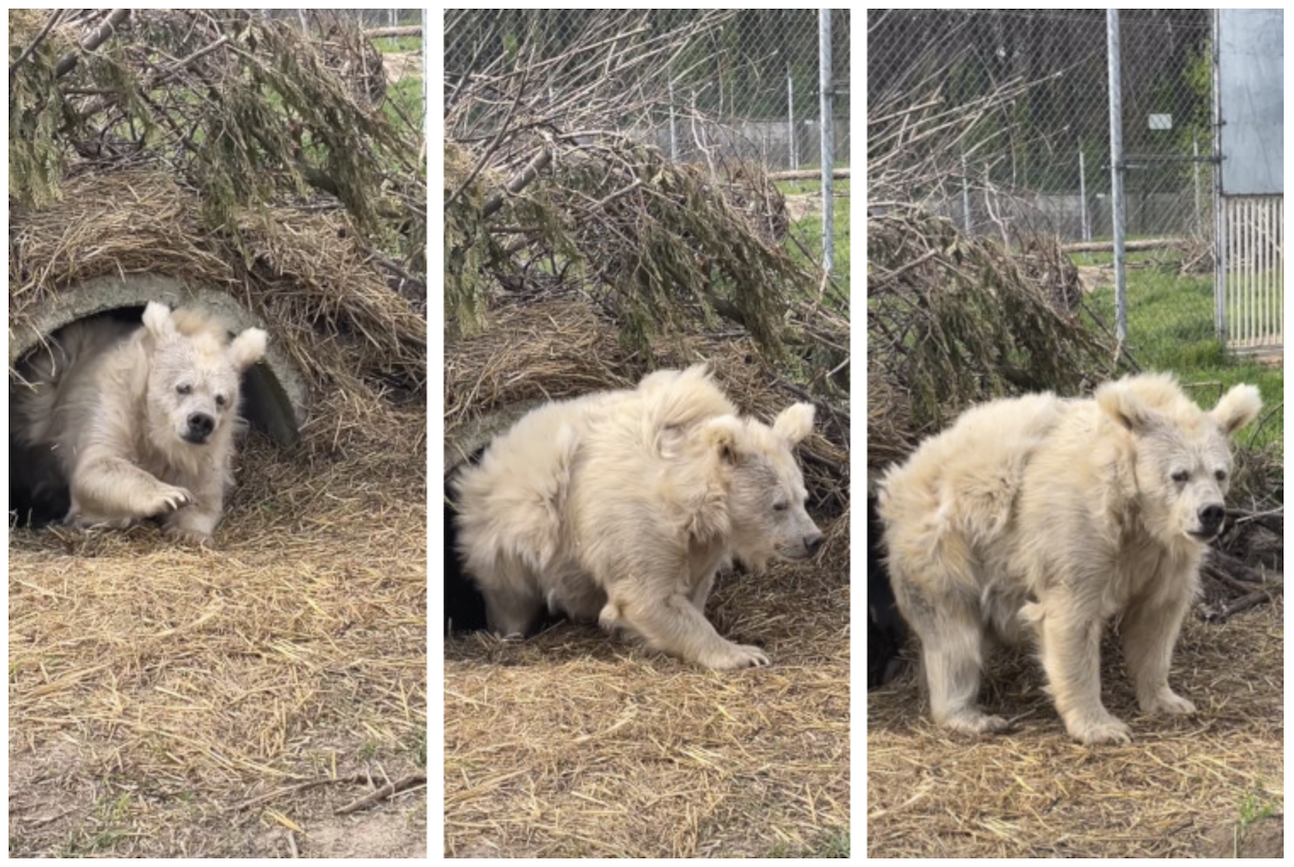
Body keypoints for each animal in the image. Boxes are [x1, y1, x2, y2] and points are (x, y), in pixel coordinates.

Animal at [10, 302, 268, 546]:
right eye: (183, 387)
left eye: (221, 398)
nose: (201, 421)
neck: (154, 432)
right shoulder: (115, 407)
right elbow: (97, 466)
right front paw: (171, 496)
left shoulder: (210, 450)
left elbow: (205, 496)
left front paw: (190, 532)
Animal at [451, 364, 824, 670]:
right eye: (779, 504)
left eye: (803, 498)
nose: (813, 540)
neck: (684, 498)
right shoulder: (635, 522)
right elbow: (646, 597)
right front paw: (744, 653)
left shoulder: (702, 541)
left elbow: (694, 585)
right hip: (508, 544)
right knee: (510, 600)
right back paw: (510, 632)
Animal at [876, 372, 1261, 745]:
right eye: (1179, 474)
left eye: (1220, 473)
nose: (1211, 513)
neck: (1135, 512)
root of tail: (900, 475)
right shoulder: (1077, 531)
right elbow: (1071, 619)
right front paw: (1101, 727)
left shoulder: (1164, 553)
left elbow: (1156, 618)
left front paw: (1170, 701)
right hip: (945, 547)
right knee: (954, 636)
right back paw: (972, 717)